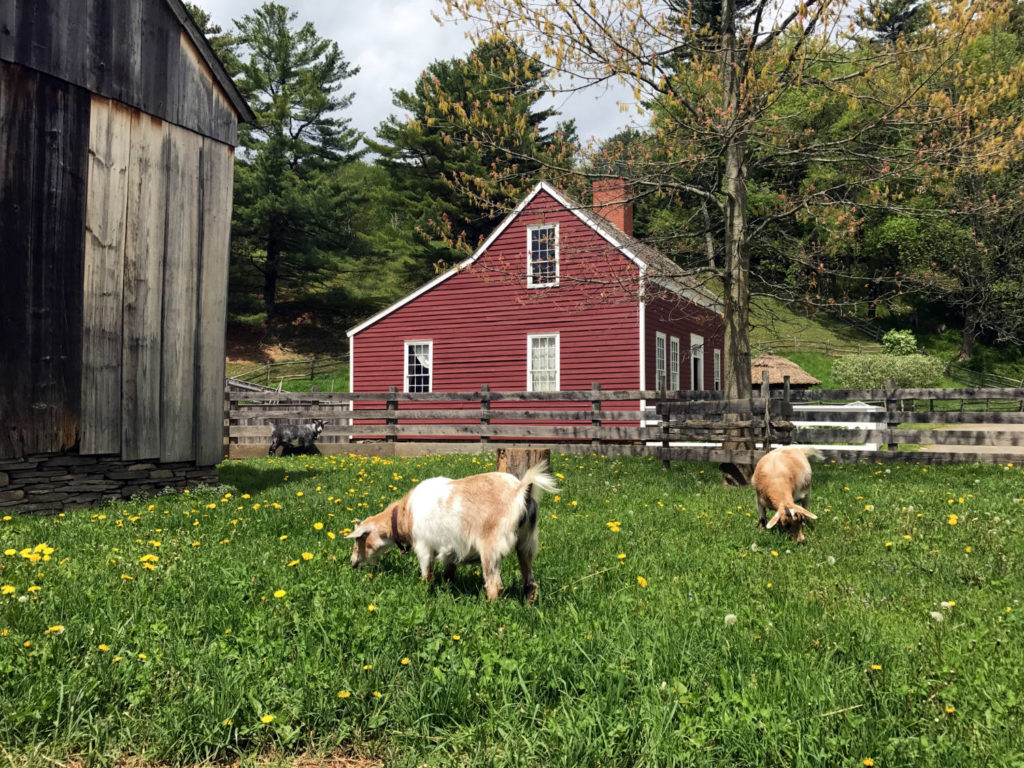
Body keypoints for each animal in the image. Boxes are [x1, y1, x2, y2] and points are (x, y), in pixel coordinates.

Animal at [352, 462, 561, 602]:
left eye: (359, 540)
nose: (353, 563)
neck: (405, 514)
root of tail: (521, 489)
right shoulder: (451, 549)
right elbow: (449, 576)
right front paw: (448, 593)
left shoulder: (423, 546)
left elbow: (427, 575)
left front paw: (425, 594)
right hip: (526, 543)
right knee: (531, 583)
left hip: (491, 547)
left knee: (494, 586)